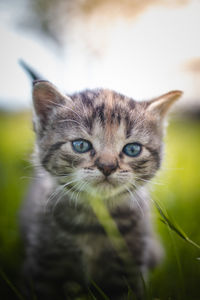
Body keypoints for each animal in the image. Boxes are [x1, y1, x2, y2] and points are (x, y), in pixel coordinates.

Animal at [19, 76, 181, 298]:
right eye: (80, 145)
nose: (107, 166)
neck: (94, 221)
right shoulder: (45, 265)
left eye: (132, 149)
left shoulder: (129, 268)